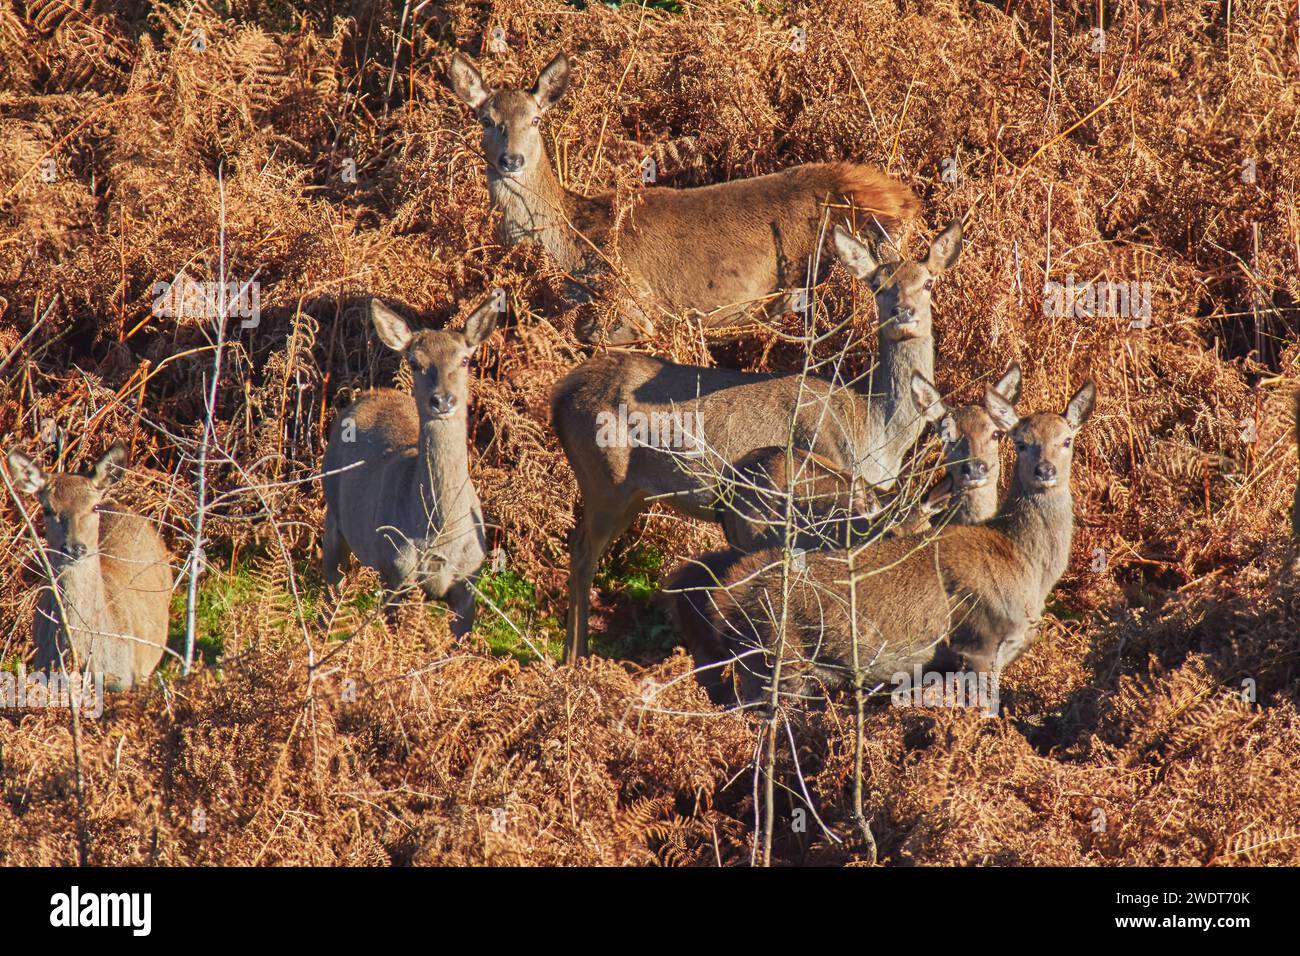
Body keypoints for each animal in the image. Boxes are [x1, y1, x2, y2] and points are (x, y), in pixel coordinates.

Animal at [321, 295, 496, 632]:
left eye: (465, 360)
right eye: (415, 362)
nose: (443, 400)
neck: (439, 537)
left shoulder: (469, 579)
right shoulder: (396, 572)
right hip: (333, 506)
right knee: (330, 580)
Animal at [551, 221, 967, 660]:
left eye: (927, 281)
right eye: (878, 284)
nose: (903, 311)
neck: (878, 430)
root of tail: (559, 396)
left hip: (631, 493)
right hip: (605, 481)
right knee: (582, 553)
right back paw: (574, 656)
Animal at [676, 377, 1092, 707]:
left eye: (1067, 439)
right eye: (1020, 442)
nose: (1045, 470)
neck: (1026, 562)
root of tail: (726, 598)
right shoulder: (978, 643)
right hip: (774, 660)